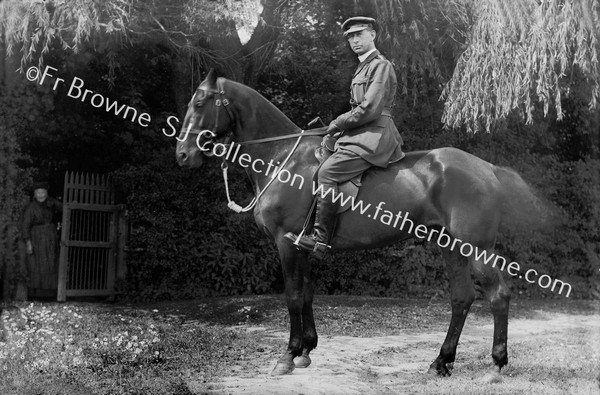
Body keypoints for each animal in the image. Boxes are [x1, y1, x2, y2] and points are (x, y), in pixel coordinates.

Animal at [173, 70, 540, 380]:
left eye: (200, 103)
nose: (182, 155)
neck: (282, 156)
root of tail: (487, 168)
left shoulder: (286, 243)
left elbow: (292, 296)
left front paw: (288, 355)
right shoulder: (302, 245)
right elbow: (306, 294)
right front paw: (306, 350)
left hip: (476, 248)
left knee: (498, 296)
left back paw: (496, 364)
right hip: (448, 245)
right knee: (461, 298)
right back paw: (441, 362)